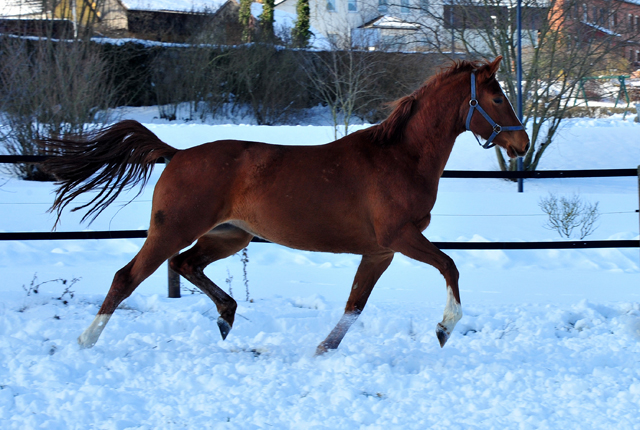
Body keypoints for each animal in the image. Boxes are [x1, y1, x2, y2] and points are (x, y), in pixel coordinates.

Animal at [41, 55, 528, 354]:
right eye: (497, 97)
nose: (522, 143)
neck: (399, 157)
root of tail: (176, 154)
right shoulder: (401, 237)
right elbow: (450, 265)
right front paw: (445, 328)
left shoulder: (380, 251)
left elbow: (355, 304)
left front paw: (322, 351)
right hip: (173, 229)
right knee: (128, 276)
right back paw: (86, 340)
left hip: (230, 236)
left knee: (186, 265)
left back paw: (226, 317)